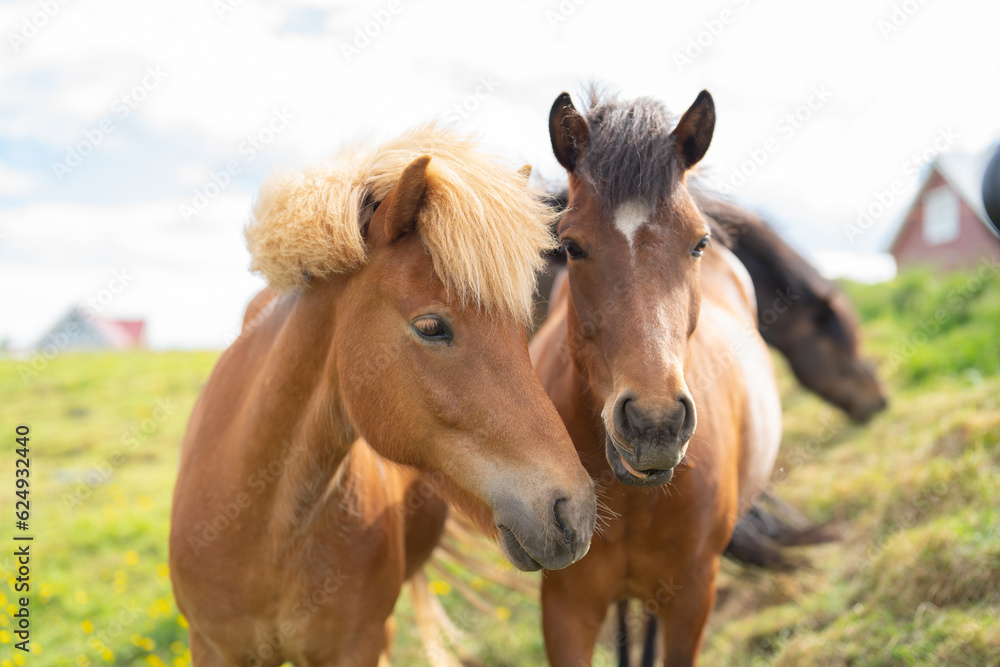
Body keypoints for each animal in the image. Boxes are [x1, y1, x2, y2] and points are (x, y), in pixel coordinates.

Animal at [168, 126, 596, 667]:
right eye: (431, 327)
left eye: (523, 328)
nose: (573, 514)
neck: (269, 530)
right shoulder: (212, 647)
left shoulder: (359, 645)